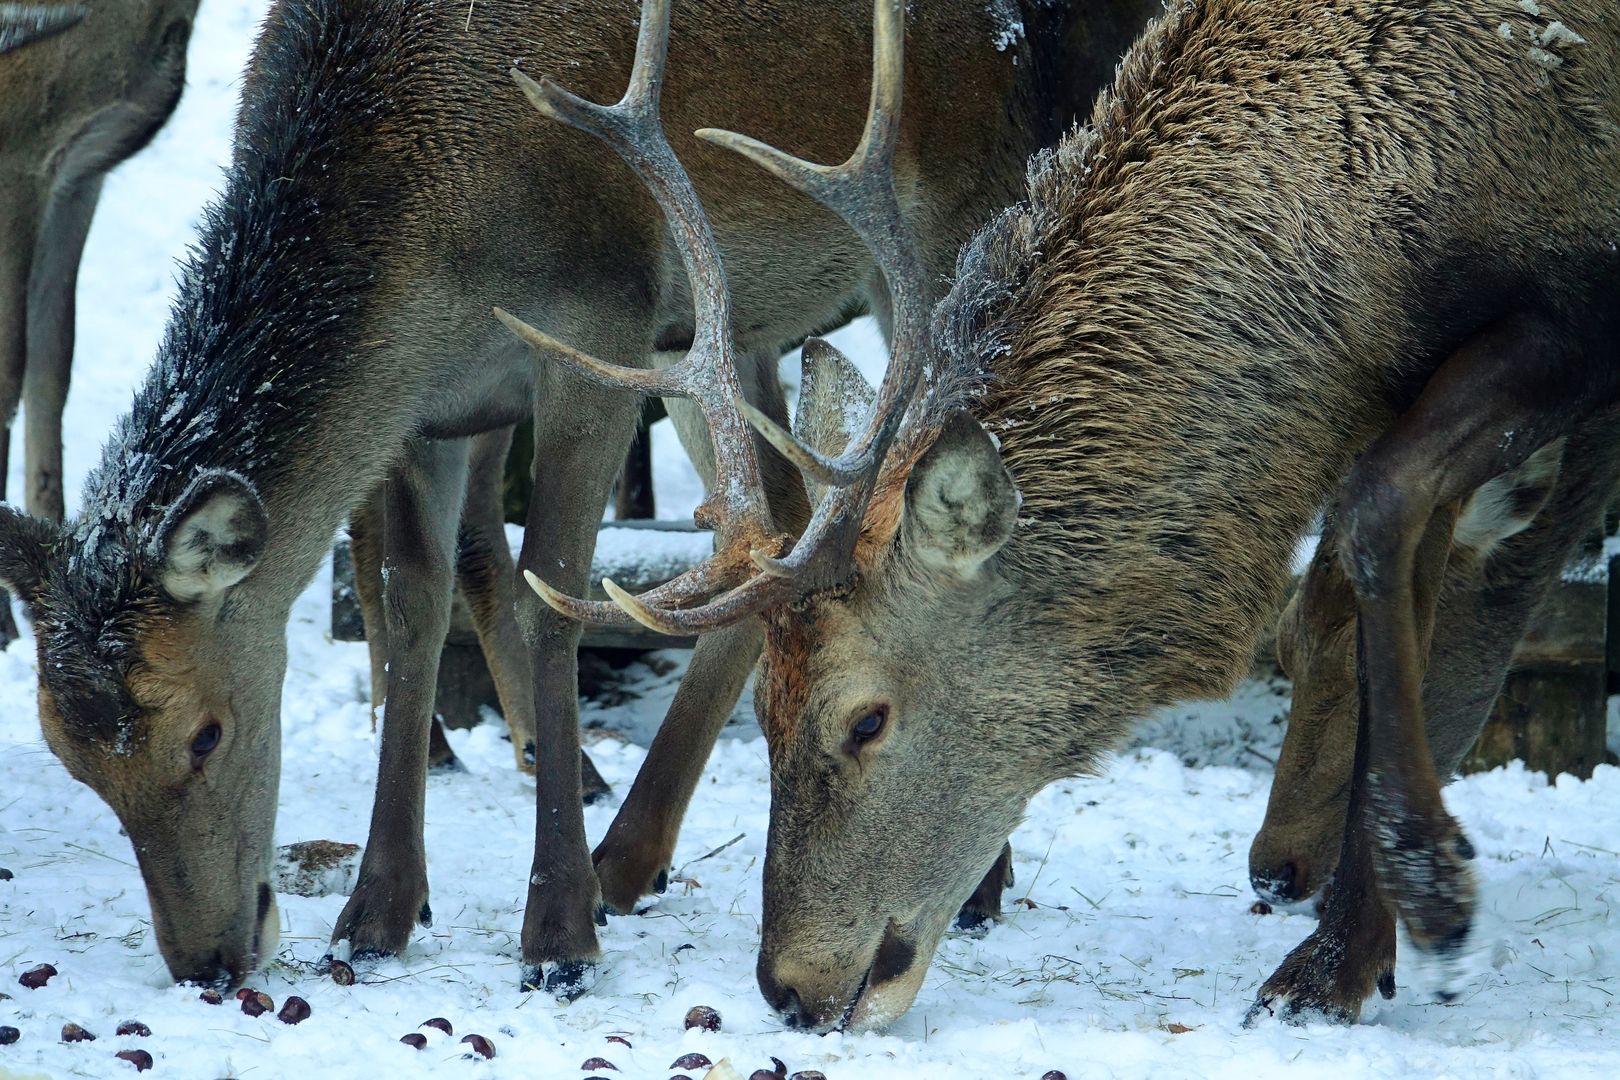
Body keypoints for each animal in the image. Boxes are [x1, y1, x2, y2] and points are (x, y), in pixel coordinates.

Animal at [0, 0, 1153, 990]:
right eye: (69, 754)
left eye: (206, 732)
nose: (207, 960)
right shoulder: (426, 405)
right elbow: (414, 605)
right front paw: (378, 914)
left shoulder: (597, 329)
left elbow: (551, 591)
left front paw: (556, 936)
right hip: (717, 336)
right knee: (781, 525)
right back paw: (632, 860)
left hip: (939, 229)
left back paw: (964, 886)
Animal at [531, 0, 1620, 1036]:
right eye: (761, 709)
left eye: (866, 717)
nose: (788, 986)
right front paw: (1363, 945)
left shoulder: (1571, 316)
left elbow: (1382, 513)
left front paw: (1403, 914)